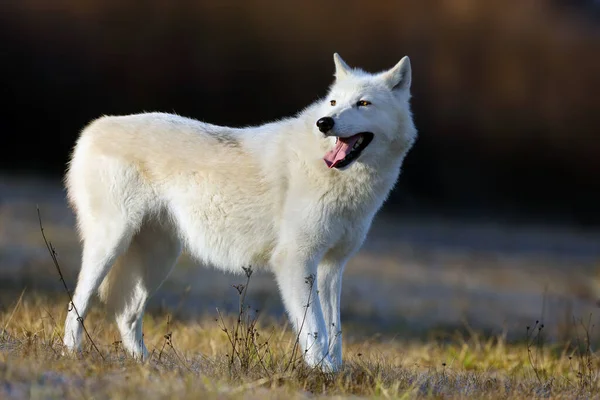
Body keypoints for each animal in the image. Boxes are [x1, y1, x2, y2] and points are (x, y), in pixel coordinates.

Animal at [61, 53, 418, 372]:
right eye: (333, 103)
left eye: (364, 103)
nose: (324, 123)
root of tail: (94, 127)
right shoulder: (295, 261)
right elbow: (315, 330)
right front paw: (323, 373)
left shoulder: (332, 267)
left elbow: (335, 331)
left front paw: (337, 374)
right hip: (110, 246)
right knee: (78, 302)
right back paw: (72, 354)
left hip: (159, 259)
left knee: (127, 315)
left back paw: (147, 366)